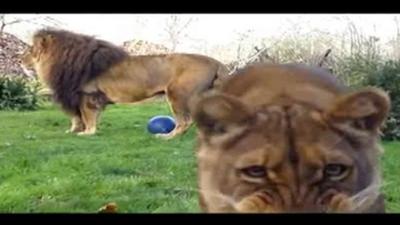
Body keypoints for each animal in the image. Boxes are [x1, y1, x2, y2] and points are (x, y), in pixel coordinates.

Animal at [21, 28, 228, 137]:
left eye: (30, 50)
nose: (20, 59)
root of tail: (217, 62)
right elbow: (81, 117)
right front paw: (76, 130)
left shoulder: (87, 95)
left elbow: (87, 117)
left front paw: (87, 133)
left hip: (178, 95)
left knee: (185, 121)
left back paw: (167, 137)